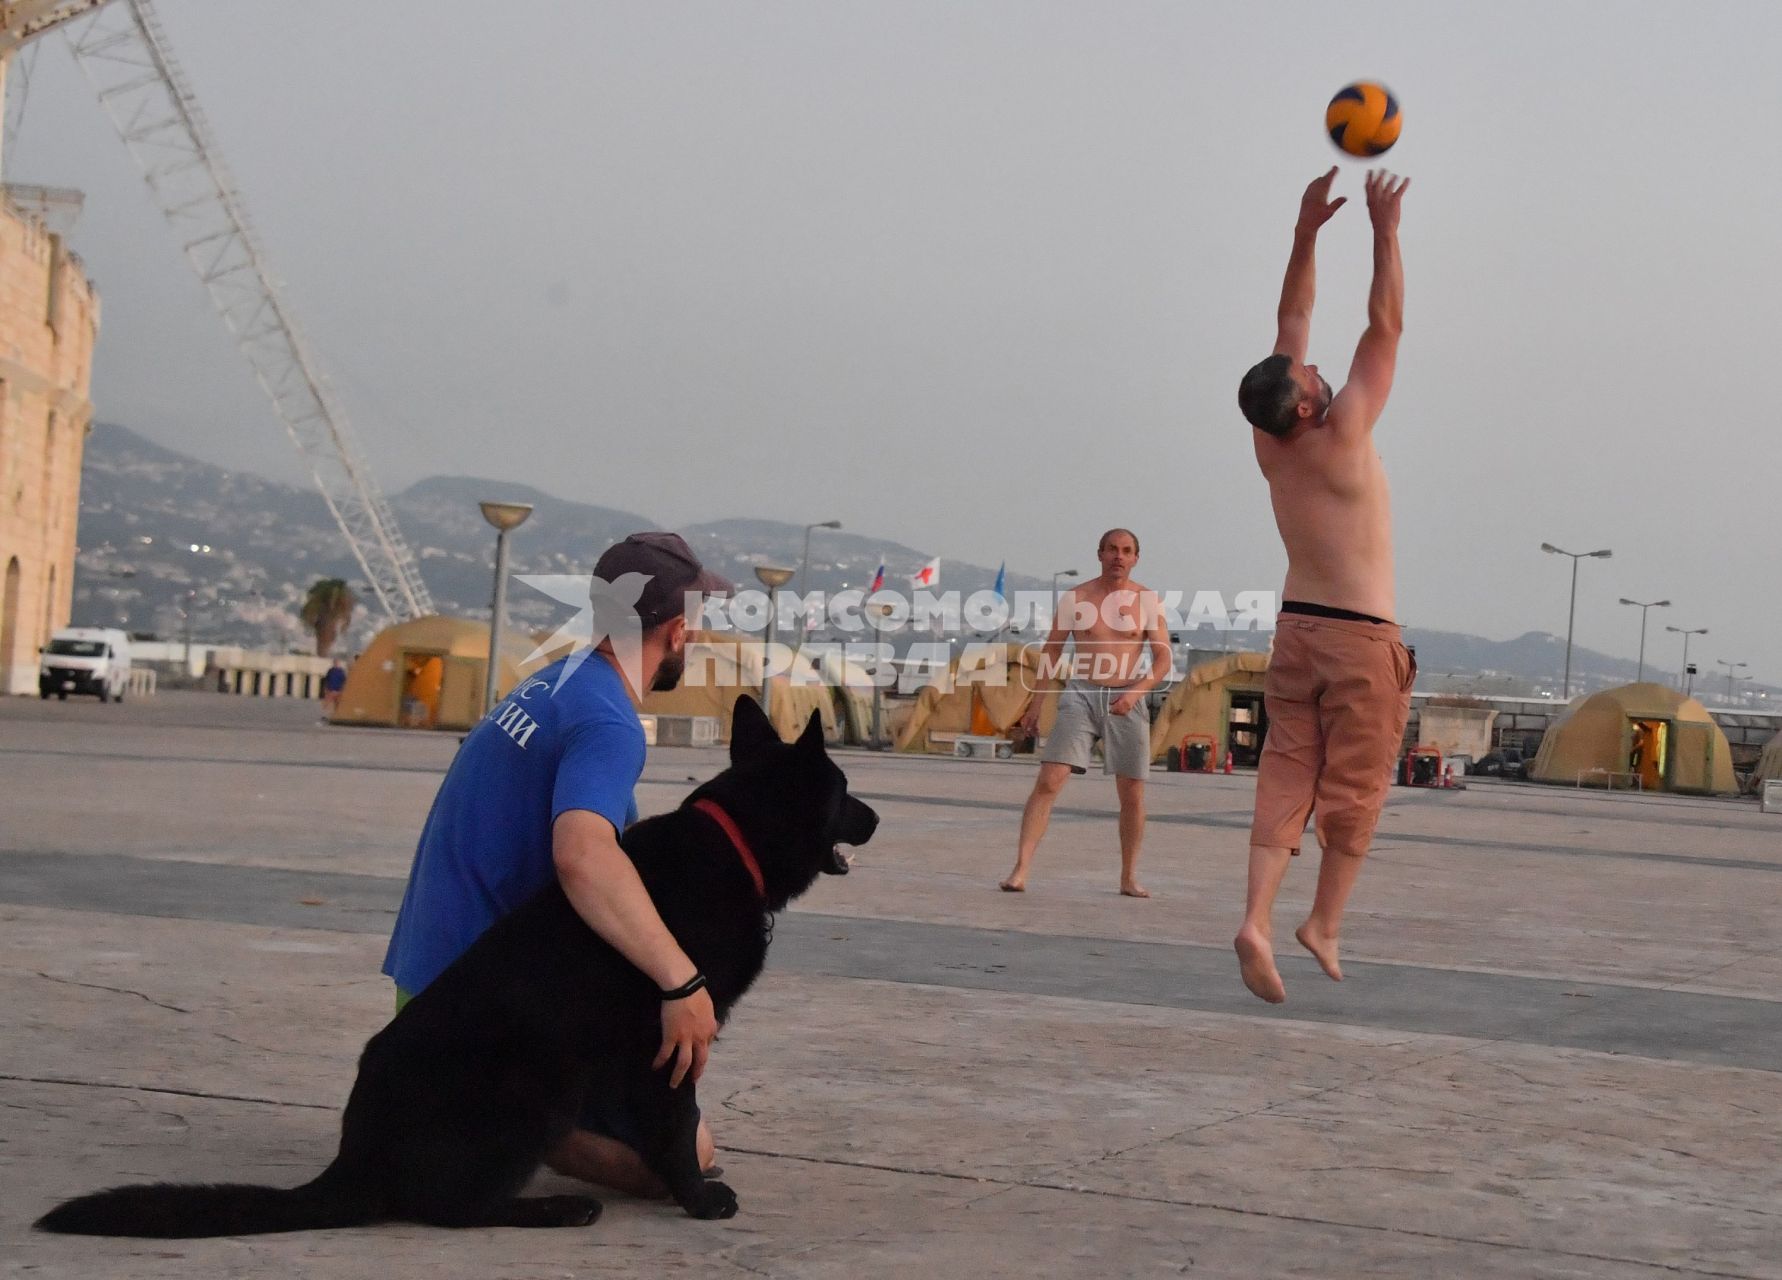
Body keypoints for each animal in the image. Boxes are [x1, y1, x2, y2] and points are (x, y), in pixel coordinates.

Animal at [40, 695, 876, 1240]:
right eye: (844, 790)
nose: (877, 819)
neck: (734, 840)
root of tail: (355, 1160)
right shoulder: (671, 1044)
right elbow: (677, 1126)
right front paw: (695, 1197)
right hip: (538, 1086)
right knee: (449, 1210)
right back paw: (554, 1209)